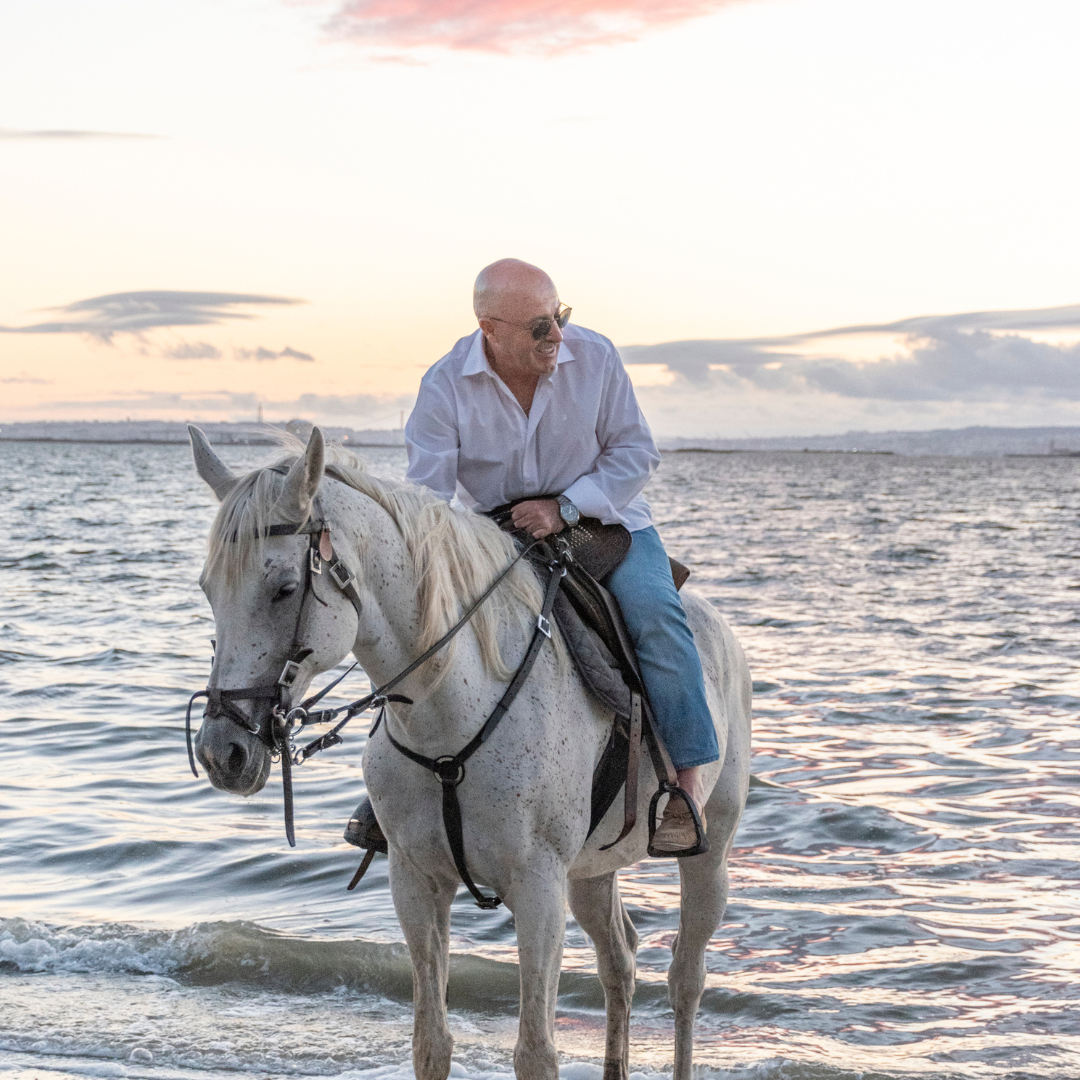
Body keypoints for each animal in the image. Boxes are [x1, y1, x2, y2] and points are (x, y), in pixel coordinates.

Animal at [190, 425, 751, 1080]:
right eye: (208, 589)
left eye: (283, 590)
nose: (222, 751)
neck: (450, 712)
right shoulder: (417, 881)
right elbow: (431, 1042)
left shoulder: (537, 888)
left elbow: (535, 1052)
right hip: (592, 870)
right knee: (620, 961)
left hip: (709, 854)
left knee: (686, 977)